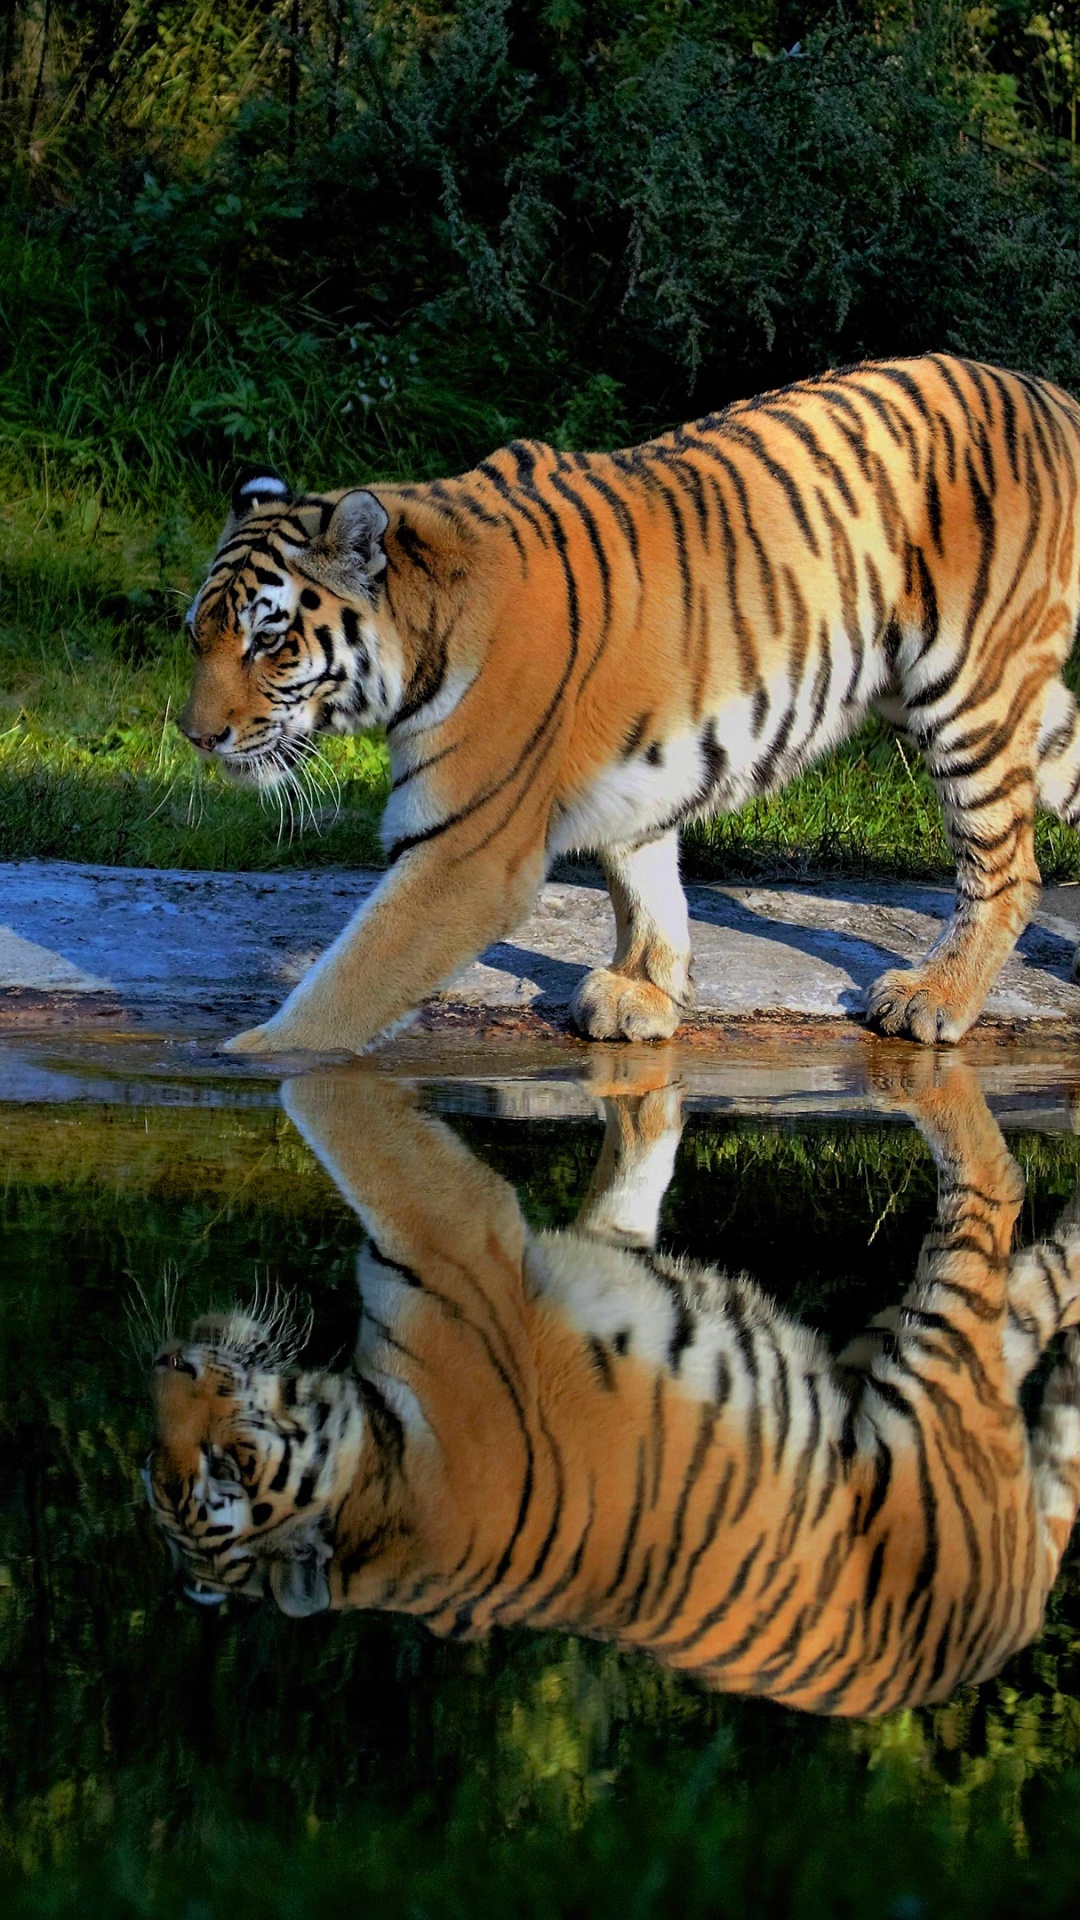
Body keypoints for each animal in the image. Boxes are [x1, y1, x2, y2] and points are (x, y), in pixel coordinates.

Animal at [147, 1059, 1076, 1720]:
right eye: (172, 1470)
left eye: (226, 1464)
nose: (168, 1368)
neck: (378, 1492)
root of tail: (1012, 1626)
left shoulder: (461, 1238)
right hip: (945, 1364)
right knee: (1018, 1231)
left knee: (1006, 1203)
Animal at [176, 353, 1080, 1059]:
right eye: (199, 636)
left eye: (269, 641)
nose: (196, 736)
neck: (426, 633)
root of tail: (1049, 393)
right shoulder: (639, 764)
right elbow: (641, 878)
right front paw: (644, 992)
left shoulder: (466, 847)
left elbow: (352, 980)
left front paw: (254, 1060)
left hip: (963, 688)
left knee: (1009, 867)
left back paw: (933, 998)